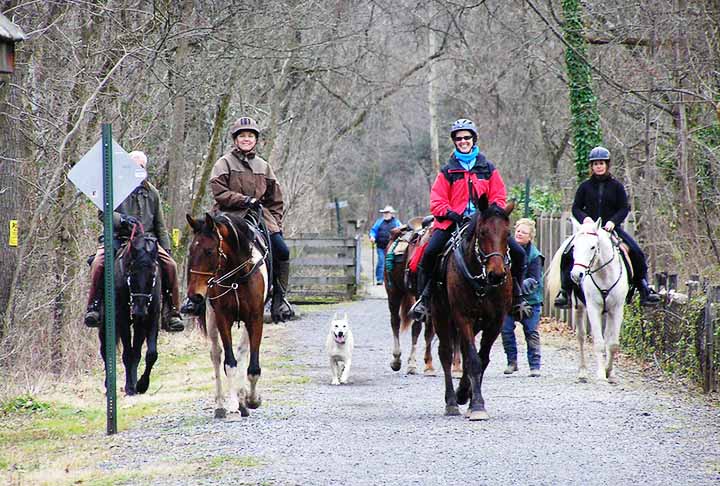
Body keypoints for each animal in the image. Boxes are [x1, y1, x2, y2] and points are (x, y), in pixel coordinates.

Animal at [100, 228, 162, 394]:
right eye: (131, 274)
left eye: (152, 275)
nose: (139, 311)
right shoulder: (121, 318)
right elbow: (127, 353)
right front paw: (129, 387)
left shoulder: (152, 316)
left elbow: (150, 354)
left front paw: (141, 384)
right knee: (105, 350)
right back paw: (110, 385)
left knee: (137, 352)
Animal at [430, 196, 516, 420]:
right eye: (483, 232)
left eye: (507, 233)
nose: (497, 274)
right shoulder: (463, 317)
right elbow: (473, 360)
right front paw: (476, 405)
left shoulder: (495, 322)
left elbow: (481, 359)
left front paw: (469, 398)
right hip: (440, 315)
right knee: (445, 353)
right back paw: (452, 402)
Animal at [544, 218, 632, 382]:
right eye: (574, 248)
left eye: (592, 247)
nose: (576, 275)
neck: (604, 274)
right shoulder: (593, 308)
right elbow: (598, 342)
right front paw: (601, 374)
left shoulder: (617, 309)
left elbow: (613, 343)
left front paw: (609, 371)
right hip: (579, 307)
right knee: (581, 337)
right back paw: (583, 371)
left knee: (607, 337)